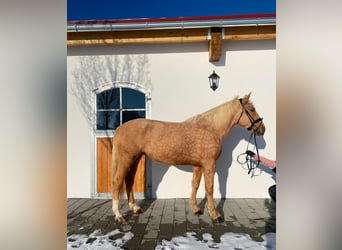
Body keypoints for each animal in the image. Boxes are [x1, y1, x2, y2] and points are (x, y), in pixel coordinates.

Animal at [112, 93, 264, 222]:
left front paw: (196, 209)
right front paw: (215, 215)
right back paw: (119, 215)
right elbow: (210, 188)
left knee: (129, 180)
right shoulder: (209, 163)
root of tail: (120, 128)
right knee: (118, 181)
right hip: (127, 159)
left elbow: (195, 184)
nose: (262, 129)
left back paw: (135, 208)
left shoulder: (198, 164)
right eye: (251, 109)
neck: (212, 128)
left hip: (135, 158)